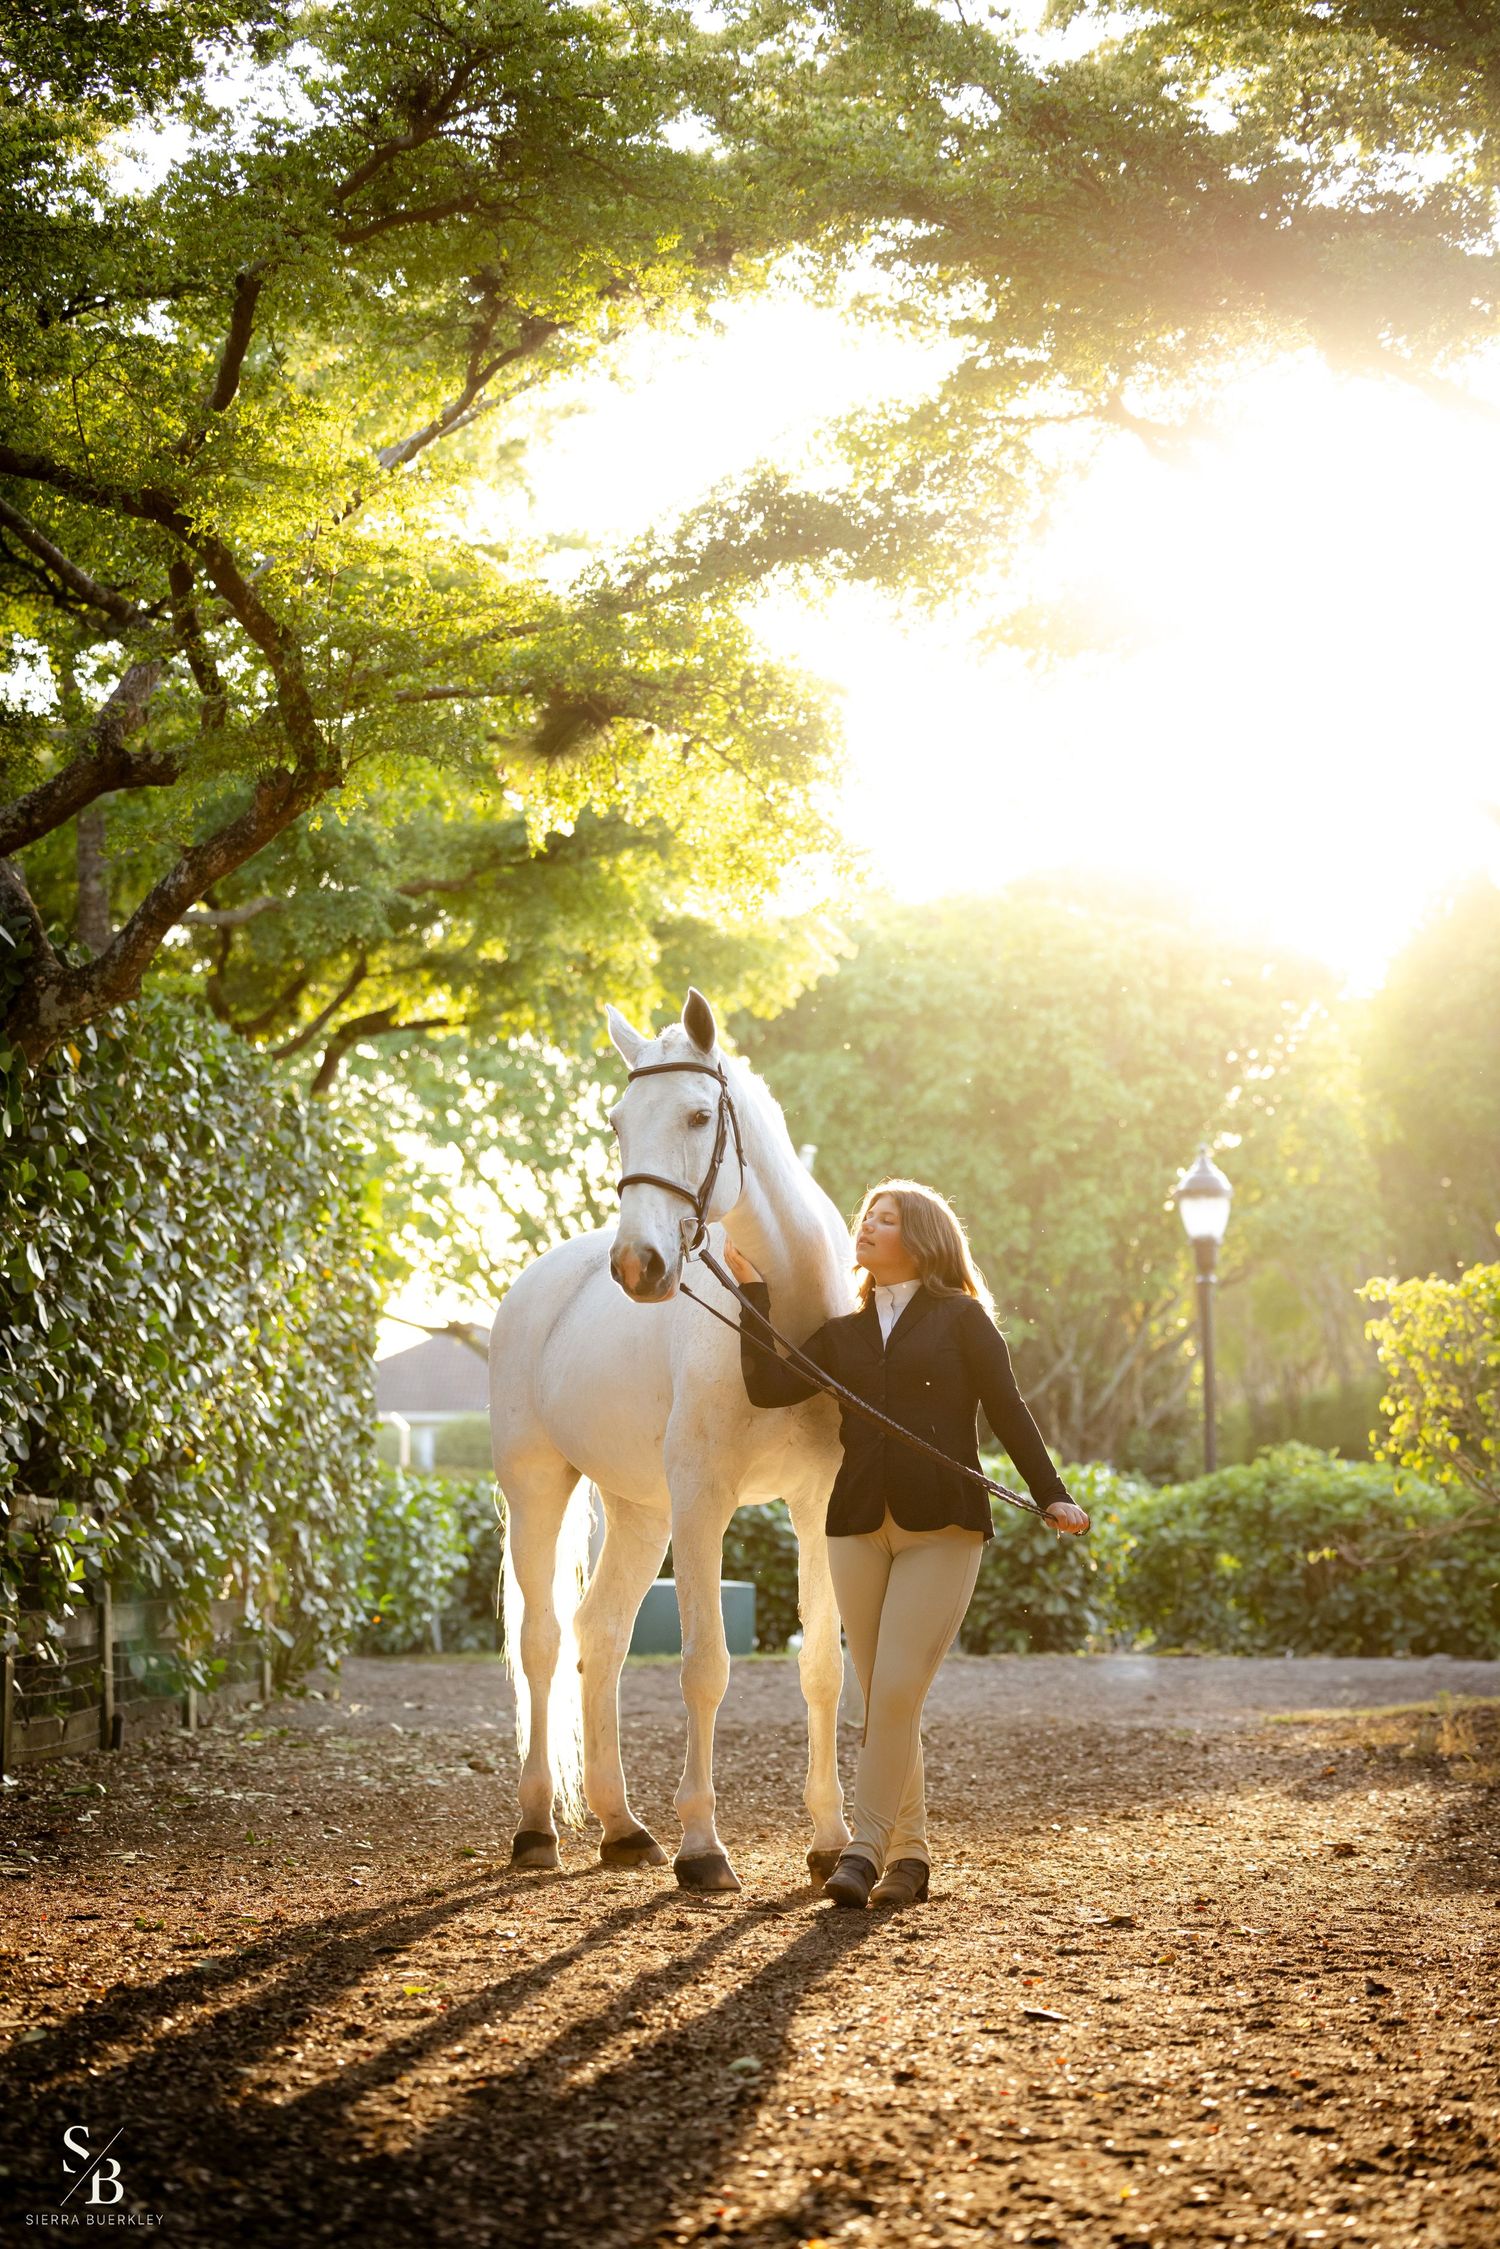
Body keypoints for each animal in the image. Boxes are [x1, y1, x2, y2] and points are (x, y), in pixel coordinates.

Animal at [488, 987, 855, 1891]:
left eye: (696, 1114)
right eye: (617, 1121)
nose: (639, 1265)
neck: (781, 1324)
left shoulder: (818, 1503)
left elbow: (822, 1669)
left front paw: (831, 1838)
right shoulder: (701, 1503)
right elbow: (704, 1666)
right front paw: (703, 1846)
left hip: (638, 1510)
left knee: (601, 1634)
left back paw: (622, 1826)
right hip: (538, 1487)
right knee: (545, 1643)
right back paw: (538, 1827)